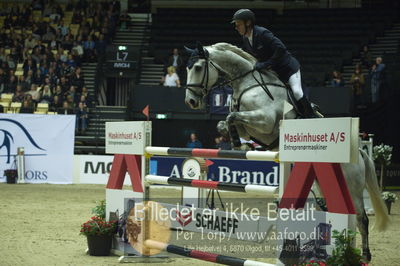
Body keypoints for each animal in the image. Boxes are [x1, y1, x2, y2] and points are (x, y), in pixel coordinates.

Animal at [185, 42, 390, 262]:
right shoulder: (248, 125)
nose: (191, 102)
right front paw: (240, 144)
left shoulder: (265, 121)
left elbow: (232, 117)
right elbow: (227, 121)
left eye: (197, 67)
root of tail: (359, 151)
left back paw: (364, 256)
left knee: (361, 218)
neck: (247, 83)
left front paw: (239, 145)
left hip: (352, 187)